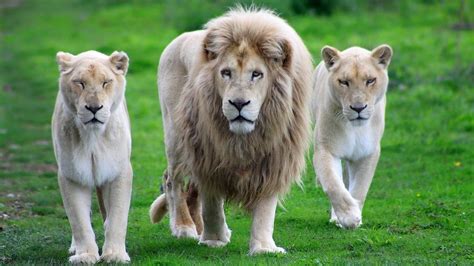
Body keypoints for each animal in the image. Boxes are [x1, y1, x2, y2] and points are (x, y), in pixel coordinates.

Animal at [312, 44, 392, 229]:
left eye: (370, 80)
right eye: (343, 82)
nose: (358, 108)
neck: (354, 129)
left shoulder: (367, 153)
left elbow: (360, 188)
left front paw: (355, 217)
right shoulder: (325, 149)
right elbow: (333, 184)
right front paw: (349, 216)